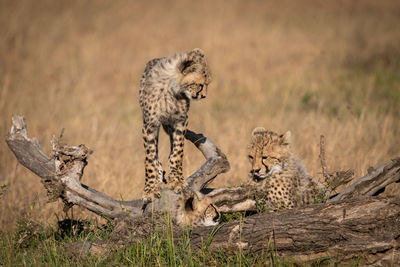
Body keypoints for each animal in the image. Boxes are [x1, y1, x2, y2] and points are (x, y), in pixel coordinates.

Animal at [139, 48, 211, 203]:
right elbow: (150, 158)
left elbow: (177, 152)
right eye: (201, 84)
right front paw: (150, 188)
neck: (171, 89)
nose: (204, 96)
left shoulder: (180, 121)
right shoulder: (149, 125)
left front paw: (177, 181)